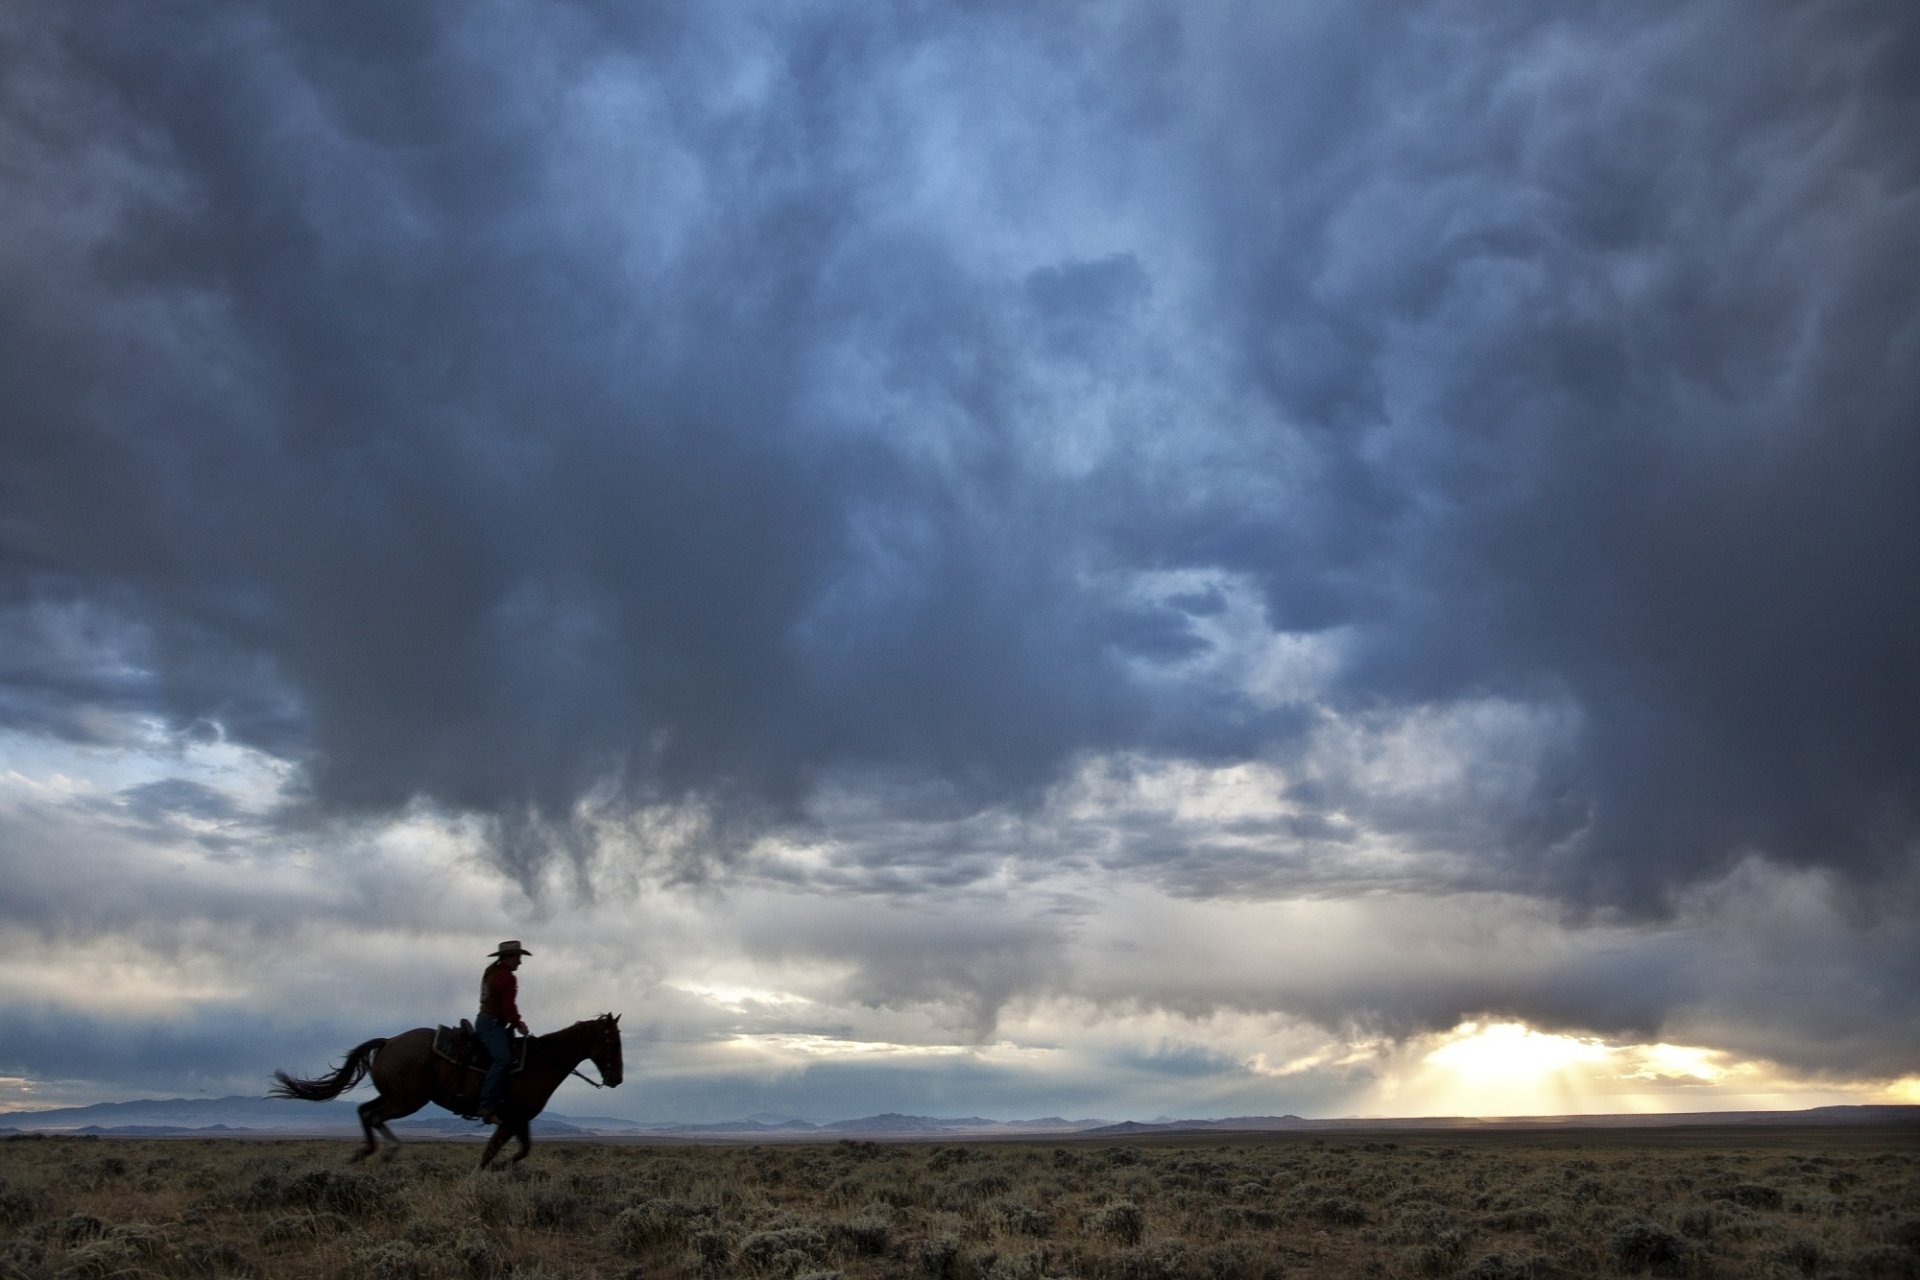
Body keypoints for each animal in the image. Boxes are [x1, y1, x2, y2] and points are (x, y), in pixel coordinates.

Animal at [264, 1013, 614, 1166]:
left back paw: (369, 1153)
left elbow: (521, 1151)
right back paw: (386, 1151)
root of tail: (388, 1041)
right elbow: (490, 1153)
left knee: (365, 1111)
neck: (540, 1061)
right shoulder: (511, 1118)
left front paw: (502, 1169)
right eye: (611, 1039)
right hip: (407, 1099)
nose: (616, 1078)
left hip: (396, 1096)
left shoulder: (519, 1119)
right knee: (374, 1115)